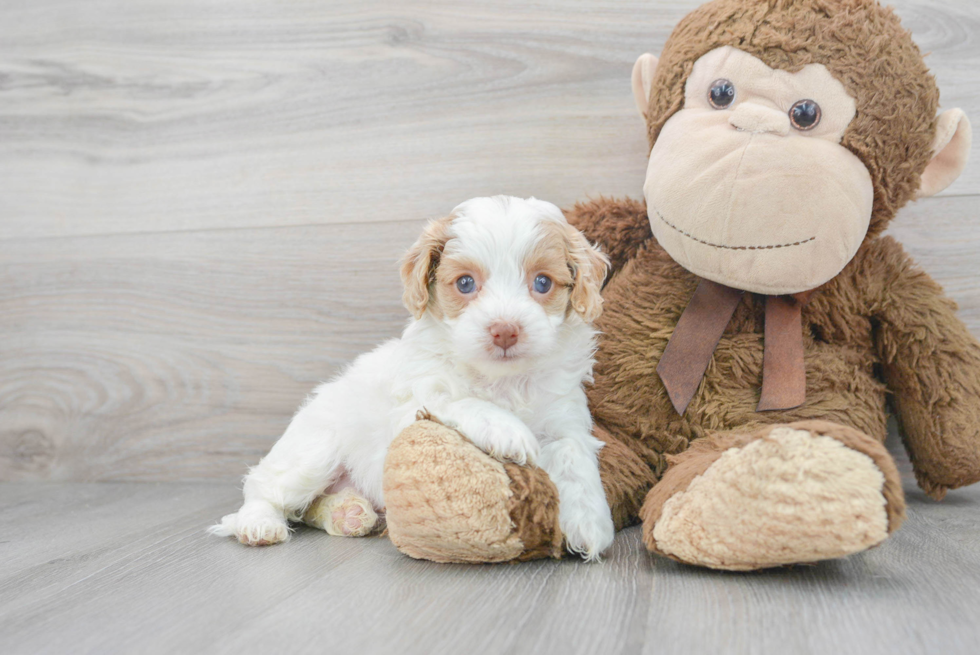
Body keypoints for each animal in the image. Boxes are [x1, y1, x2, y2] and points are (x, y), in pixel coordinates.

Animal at [211, 197, 612, 560]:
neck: (502, 381)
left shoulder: (565, 417)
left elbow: (574, 457)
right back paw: (259, 524)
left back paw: (346, 513)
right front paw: (505, 428)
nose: (505, 331)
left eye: (542, 282)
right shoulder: (413, 406)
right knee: (264, 488)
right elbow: (457, 400)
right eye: (465, 283)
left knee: (309, 508)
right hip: (313, 452)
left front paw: (589, 523)